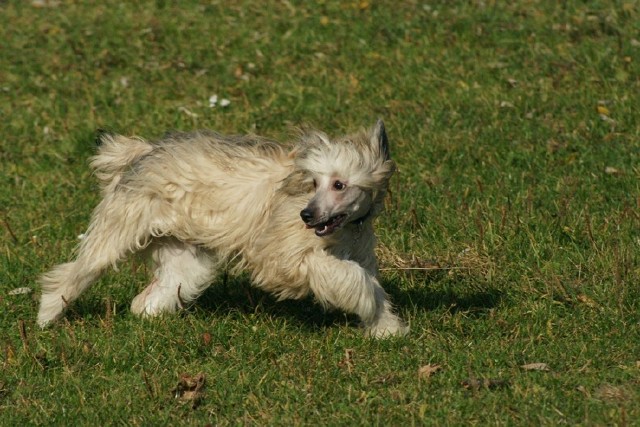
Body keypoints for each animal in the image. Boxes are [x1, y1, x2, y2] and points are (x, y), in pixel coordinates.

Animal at [38, 119, 410, 338]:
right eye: (313, 182)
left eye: (339, 184)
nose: (306, 215)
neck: (347, 229)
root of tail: (143, 151)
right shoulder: (282, 259)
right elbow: (350, 277)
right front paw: (368, 305)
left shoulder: (359, 252)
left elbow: (370, 285)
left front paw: (387, 329)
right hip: (118, 229)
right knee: (74, 273)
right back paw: (47, 315)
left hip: (187, 260)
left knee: (148, 297)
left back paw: (150, 315)